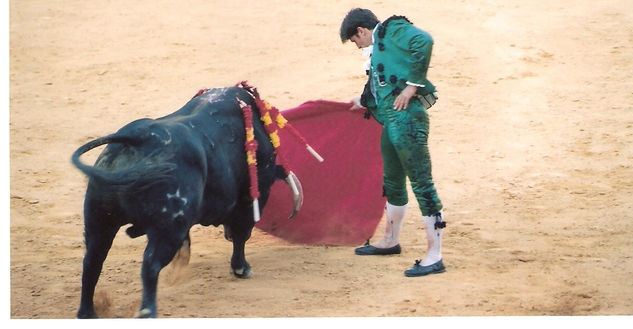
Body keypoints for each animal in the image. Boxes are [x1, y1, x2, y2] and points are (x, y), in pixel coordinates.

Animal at [70, 85, 302, 318]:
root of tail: (137, 138)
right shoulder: (251, 199)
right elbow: (241, 235)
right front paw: (241, 268)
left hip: (100, 220)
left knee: (92, 262)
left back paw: (87, 312)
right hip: (166, 229)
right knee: (150, 265)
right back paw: (147, 311)